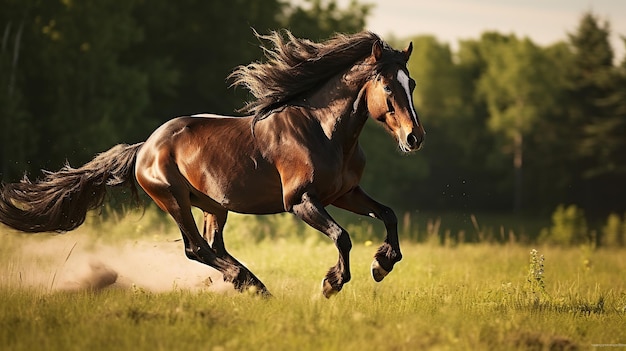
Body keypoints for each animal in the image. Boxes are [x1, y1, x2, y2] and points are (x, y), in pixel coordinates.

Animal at [0, 31, 422, 300]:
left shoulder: (345, 193)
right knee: (196, 248)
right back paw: (253, 285)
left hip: (214, 205)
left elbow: (387, 214)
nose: (414, 139)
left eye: (412, 84)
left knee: (213, 245)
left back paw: (249, 283)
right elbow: (343, 236)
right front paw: (331, 284)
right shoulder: (301, 200)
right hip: (173, 199)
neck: (324, 131)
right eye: (388, 86)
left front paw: (382, 264)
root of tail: (144, 148)